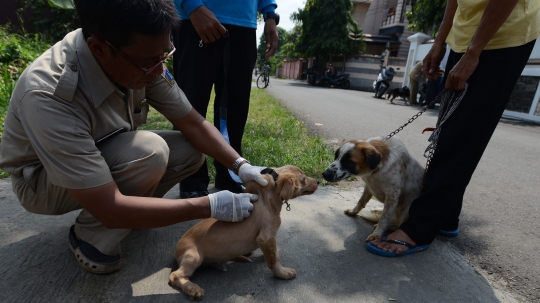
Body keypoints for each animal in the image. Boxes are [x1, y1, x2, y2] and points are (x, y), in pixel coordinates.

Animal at [171, 166, 318, 302]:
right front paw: (283, 273)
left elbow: (272, 253)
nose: (317, 181)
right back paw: (192, 289)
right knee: (175, 275)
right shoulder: (266, 236)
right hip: (193, 256)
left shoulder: (267, 240)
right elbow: (273, 260)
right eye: (304, 179)